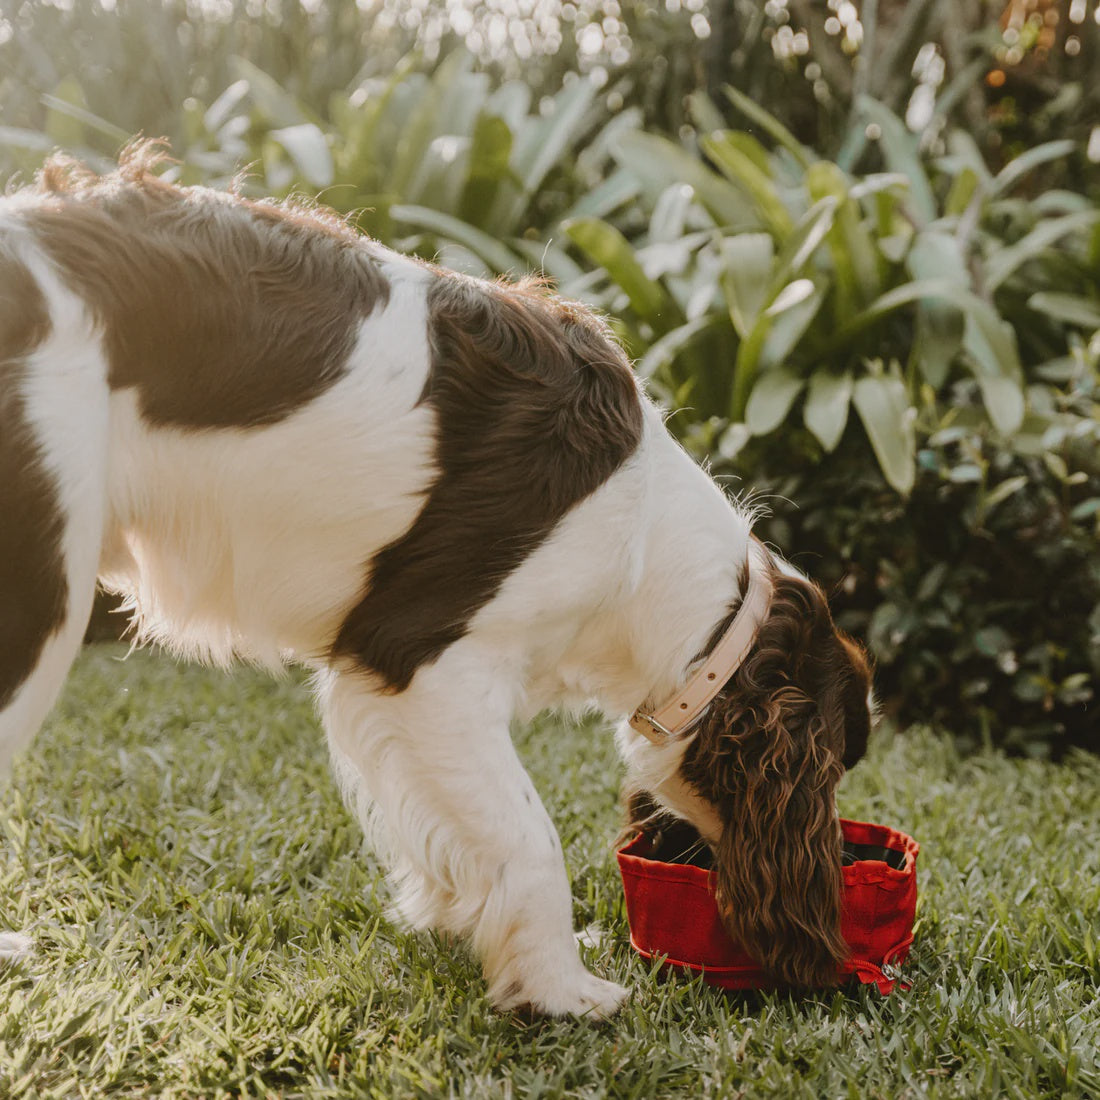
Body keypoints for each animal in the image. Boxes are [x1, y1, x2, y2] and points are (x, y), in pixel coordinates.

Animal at [0, 141, 871, 1016]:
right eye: (836, 770)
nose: (839, 873)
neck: (653, 547)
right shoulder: (424, 669)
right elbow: (532, 837)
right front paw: (560, 987)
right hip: (40, 603)